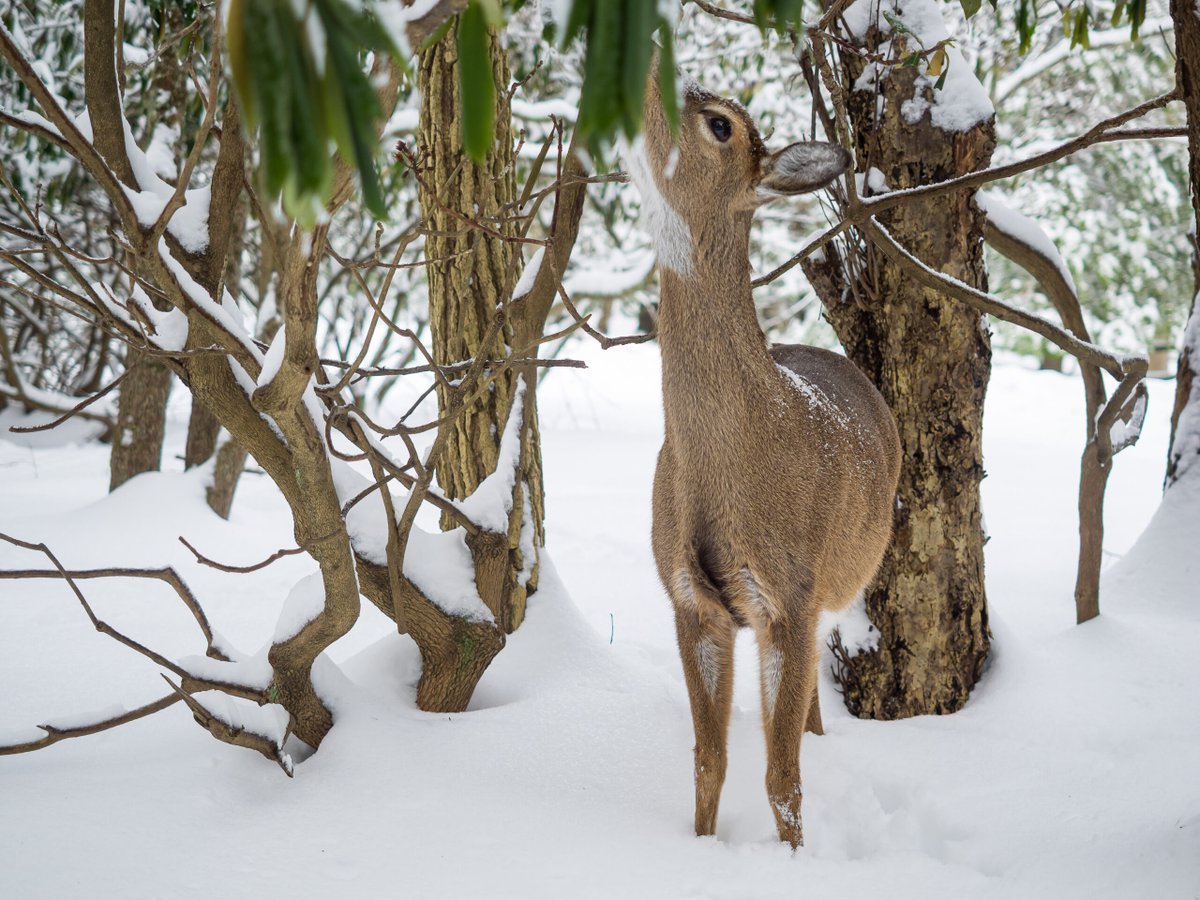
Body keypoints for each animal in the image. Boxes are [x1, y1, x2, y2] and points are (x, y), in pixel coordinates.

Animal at [624, 73, 901, 848]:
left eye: (720, 124)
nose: (655, 71)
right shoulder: (690, 599)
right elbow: (708, 759)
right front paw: (700, 846)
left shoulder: (793, 594)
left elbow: (782, 779)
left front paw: (795, 859)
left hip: (836, 584)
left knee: (808, 719)